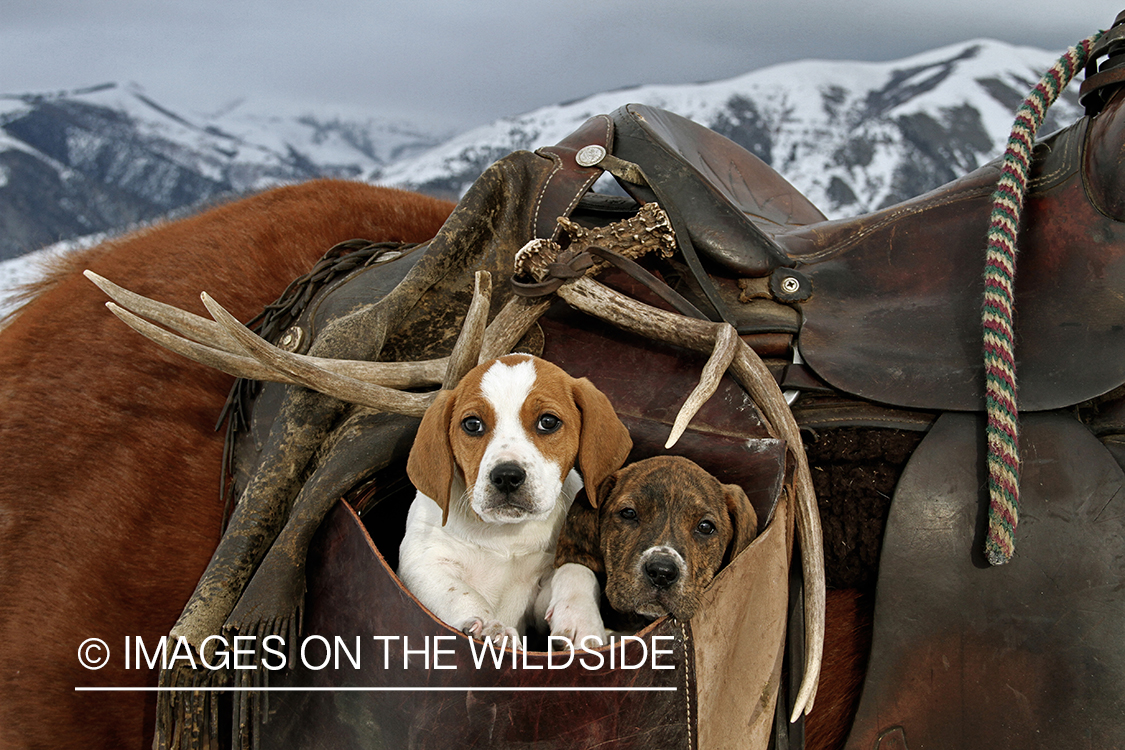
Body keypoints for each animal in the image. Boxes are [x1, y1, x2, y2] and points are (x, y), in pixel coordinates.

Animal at [398, 357, 634, 647]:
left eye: (548, 422)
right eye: (472, 424)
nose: (507, 477)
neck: (506, 533)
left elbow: (575, 570)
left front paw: (581, 618)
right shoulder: (424, 563)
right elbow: (461, 593)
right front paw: (491, 627)